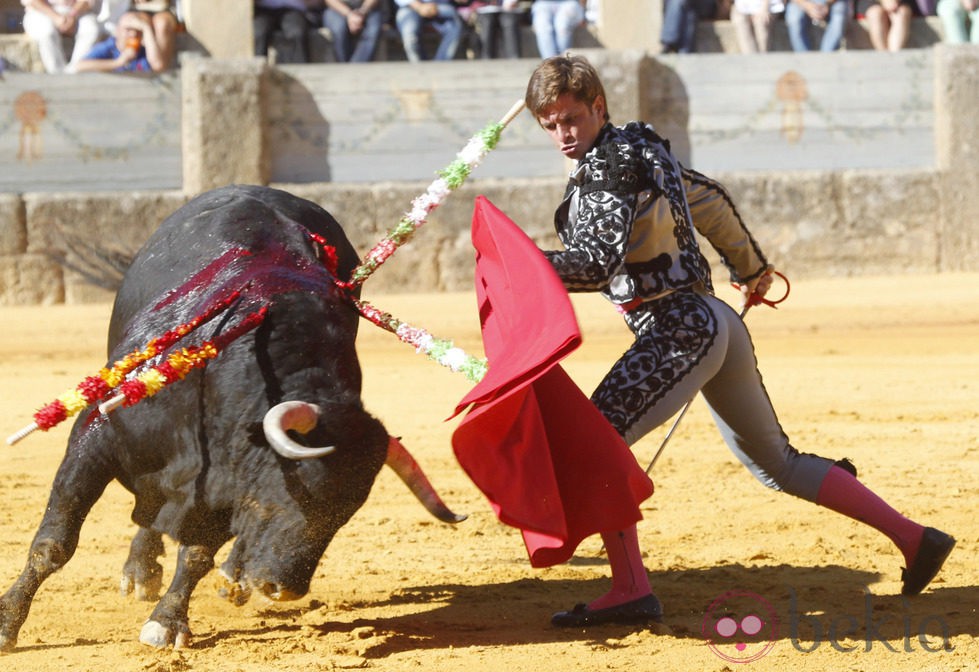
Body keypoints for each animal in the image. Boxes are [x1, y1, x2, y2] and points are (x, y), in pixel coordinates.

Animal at [0, 184, 464, 652]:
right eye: (300, 490)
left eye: (347, 513)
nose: (284, 589)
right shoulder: (96, 438)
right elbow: (54, 543)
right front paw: (7, 623)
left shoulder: (227, 481)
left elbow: (197, 554)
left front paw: (167, 621)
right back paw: (142, 572)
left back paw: (229, 578)